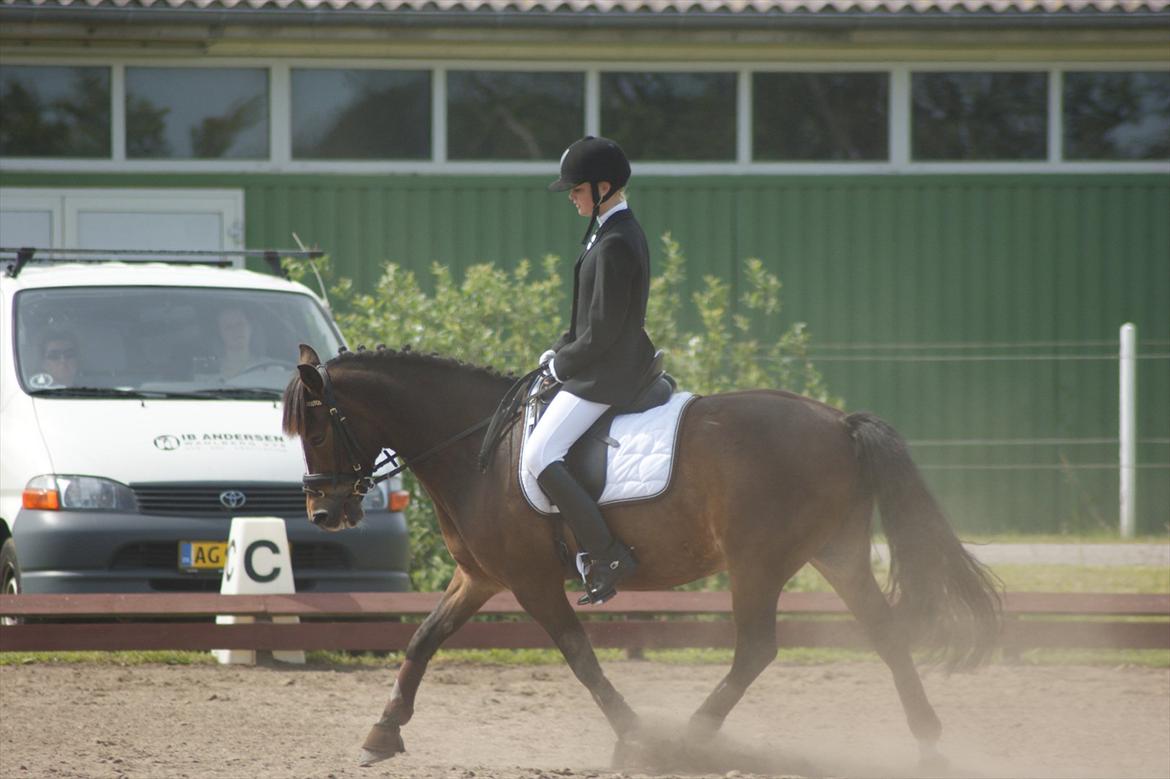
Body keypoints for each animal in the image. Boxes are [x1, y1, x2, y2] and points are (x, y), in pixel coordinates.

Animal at [280, 343, 996, 767]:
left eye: (314, 426)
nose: (323, 514)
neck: (474, 450)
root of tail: (838, 422)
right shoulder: (480, 577)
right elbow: (423, 639)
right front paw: (383, 732)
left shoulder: (531, 581)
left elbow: (579, 656)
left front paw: (633, 737)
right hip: (836, 554)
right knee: (884, 632)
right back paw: (928, 744)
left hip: (758, 562)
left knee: (756, 649)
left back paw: (688, 738)